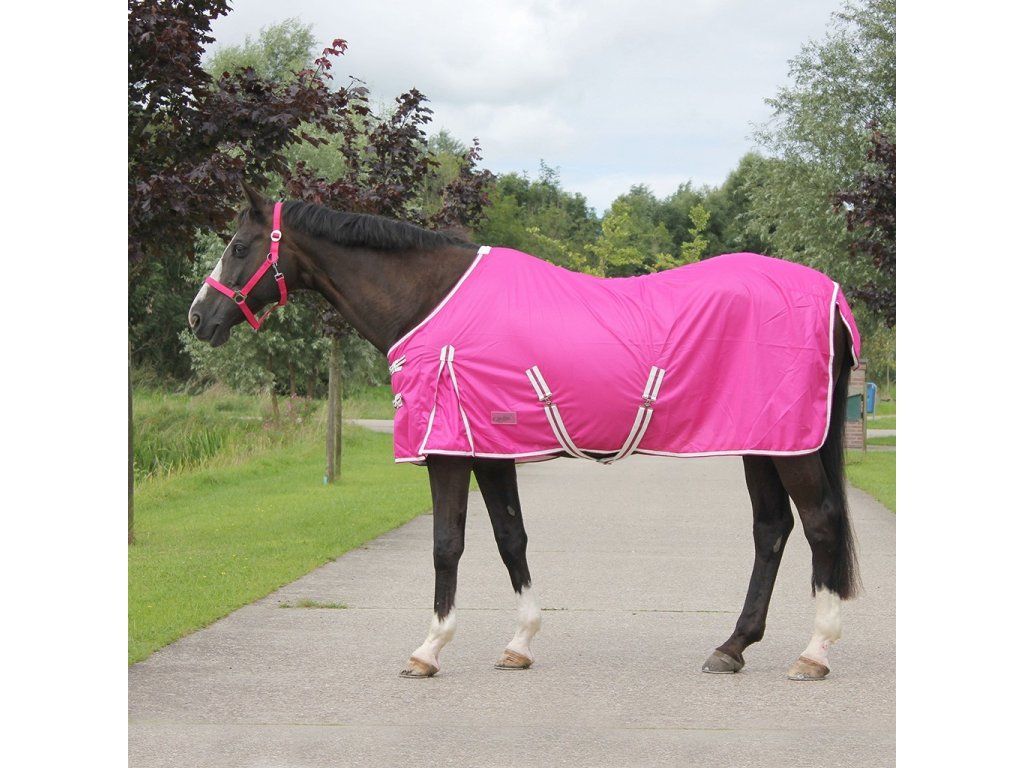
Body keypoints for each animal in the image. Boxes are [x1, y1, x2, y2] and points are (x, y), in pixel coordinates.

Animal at [188, 183, 860, 681]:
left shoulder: (448, 452)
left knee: (820, 523)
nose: (199, 318)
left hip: (789, 447)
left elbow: (448, 544)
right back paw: (732, 647)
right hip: (764, 442)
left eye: (239, 245)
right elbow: (511, 538)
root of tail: (831, 295)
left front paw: (429, 649)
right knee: (772, 530)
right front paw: (520, 642)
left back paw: (814, 653)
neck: (431, 300)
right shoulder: (488, 450)